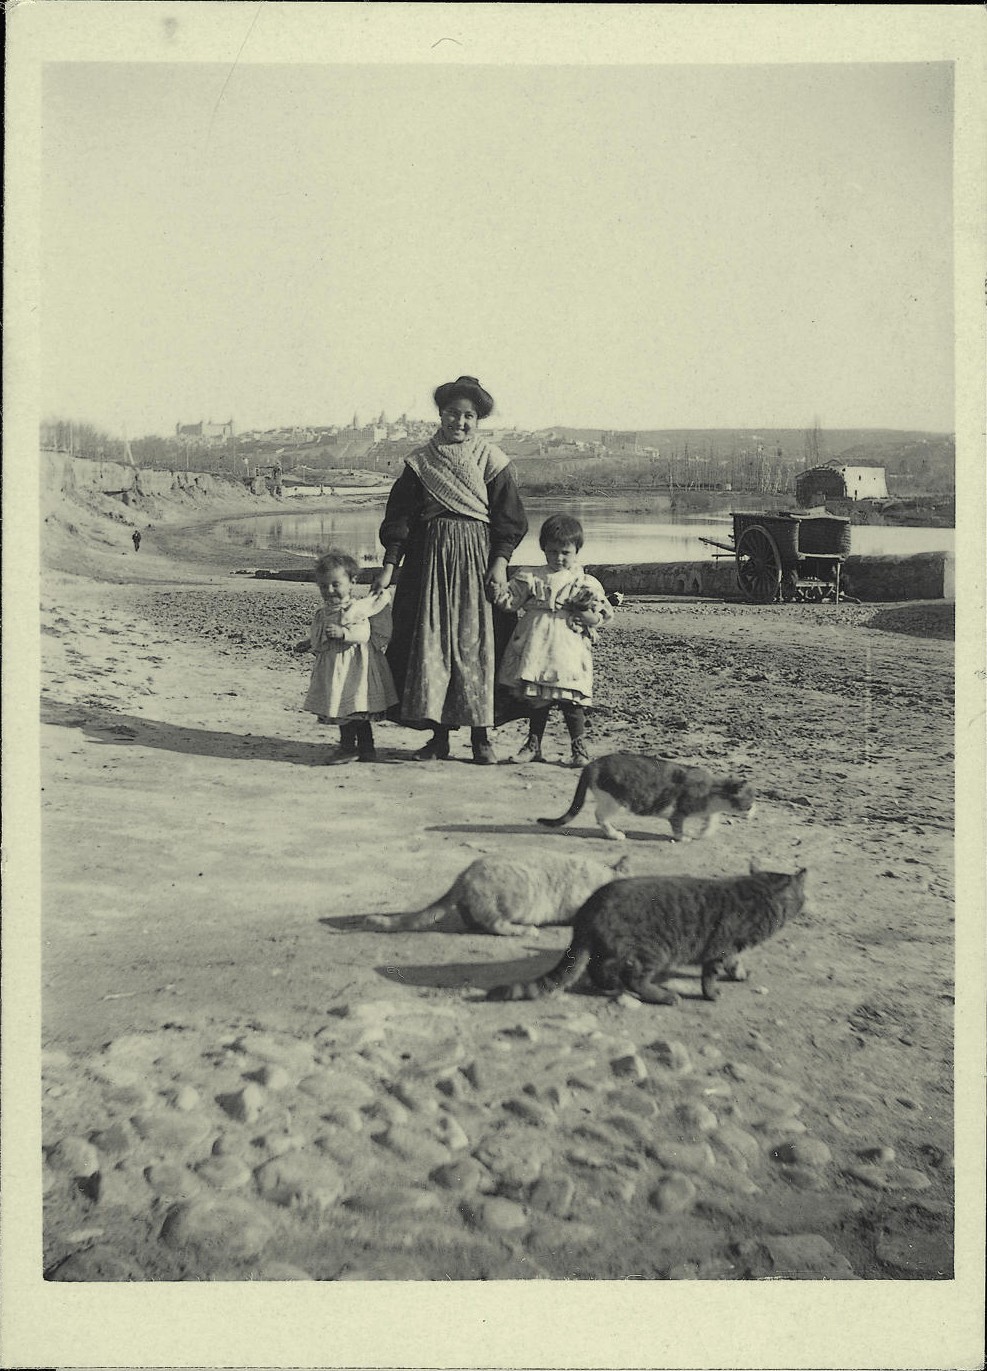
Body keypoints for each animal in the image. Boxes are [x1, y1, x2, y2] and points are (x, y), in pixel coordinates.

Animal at [482, 866, 806, 1009]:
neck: (759, 893)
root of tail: (589, 907)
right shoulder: (721, 947)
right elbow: (711, 974)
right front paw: (712, 992)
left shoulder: (730, 950)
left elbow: (734, 964)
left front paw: (740, 974)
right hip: (655, 950)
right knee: (633, 978)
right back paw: (662, 995)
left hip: (611, 949)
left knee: (598, 968)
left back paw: (609, 984)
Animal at [534, 756, 751, 839]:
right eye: (750, 803)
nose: (753, 811)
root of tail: (592, 764)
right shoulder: (679, 811)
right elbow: (678, 825)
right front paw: (683, 837)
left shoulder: (707, 809)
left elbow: (711, 819)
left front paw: (705, 832)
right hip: (615, 800)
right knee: (599, 816)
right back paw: (614, 834)